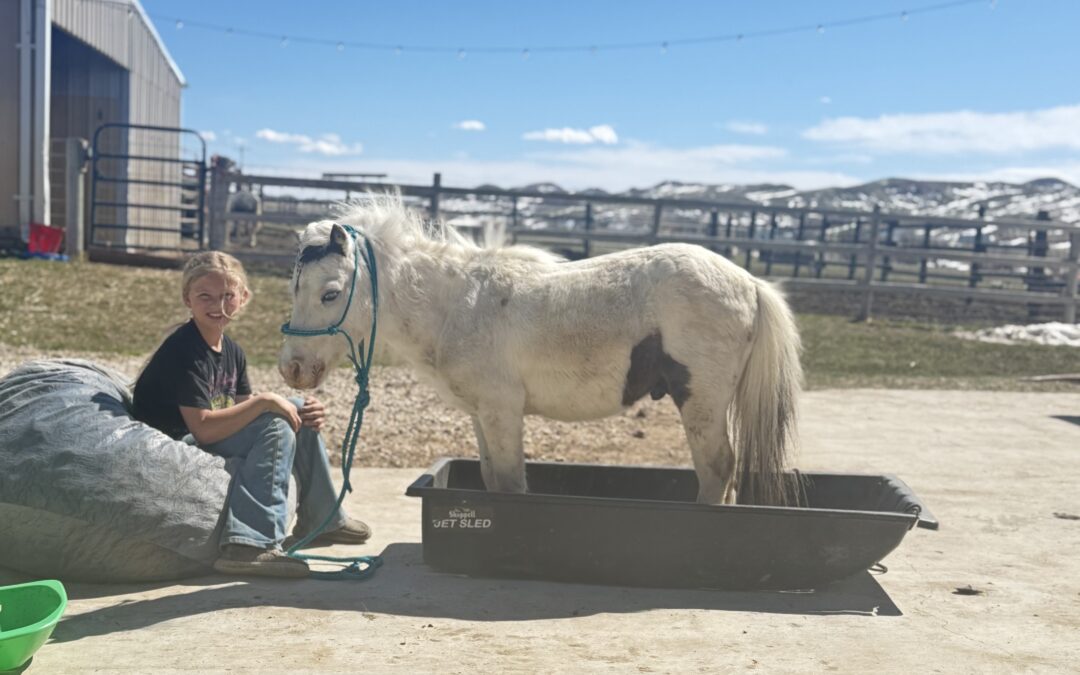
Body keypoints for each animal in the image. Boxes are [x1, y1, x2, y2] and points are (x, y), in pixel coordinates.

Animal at [279, 197, 803, 505]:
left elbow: (512, 483)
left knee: (717, 469)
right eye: (294, 285)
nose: (293, 369)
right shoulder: (483, 415)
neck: (457, 305)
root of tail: (749, 282)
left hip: (702, 403)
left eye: (330, 293)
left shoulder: (503, 412)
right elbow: (492, 478)